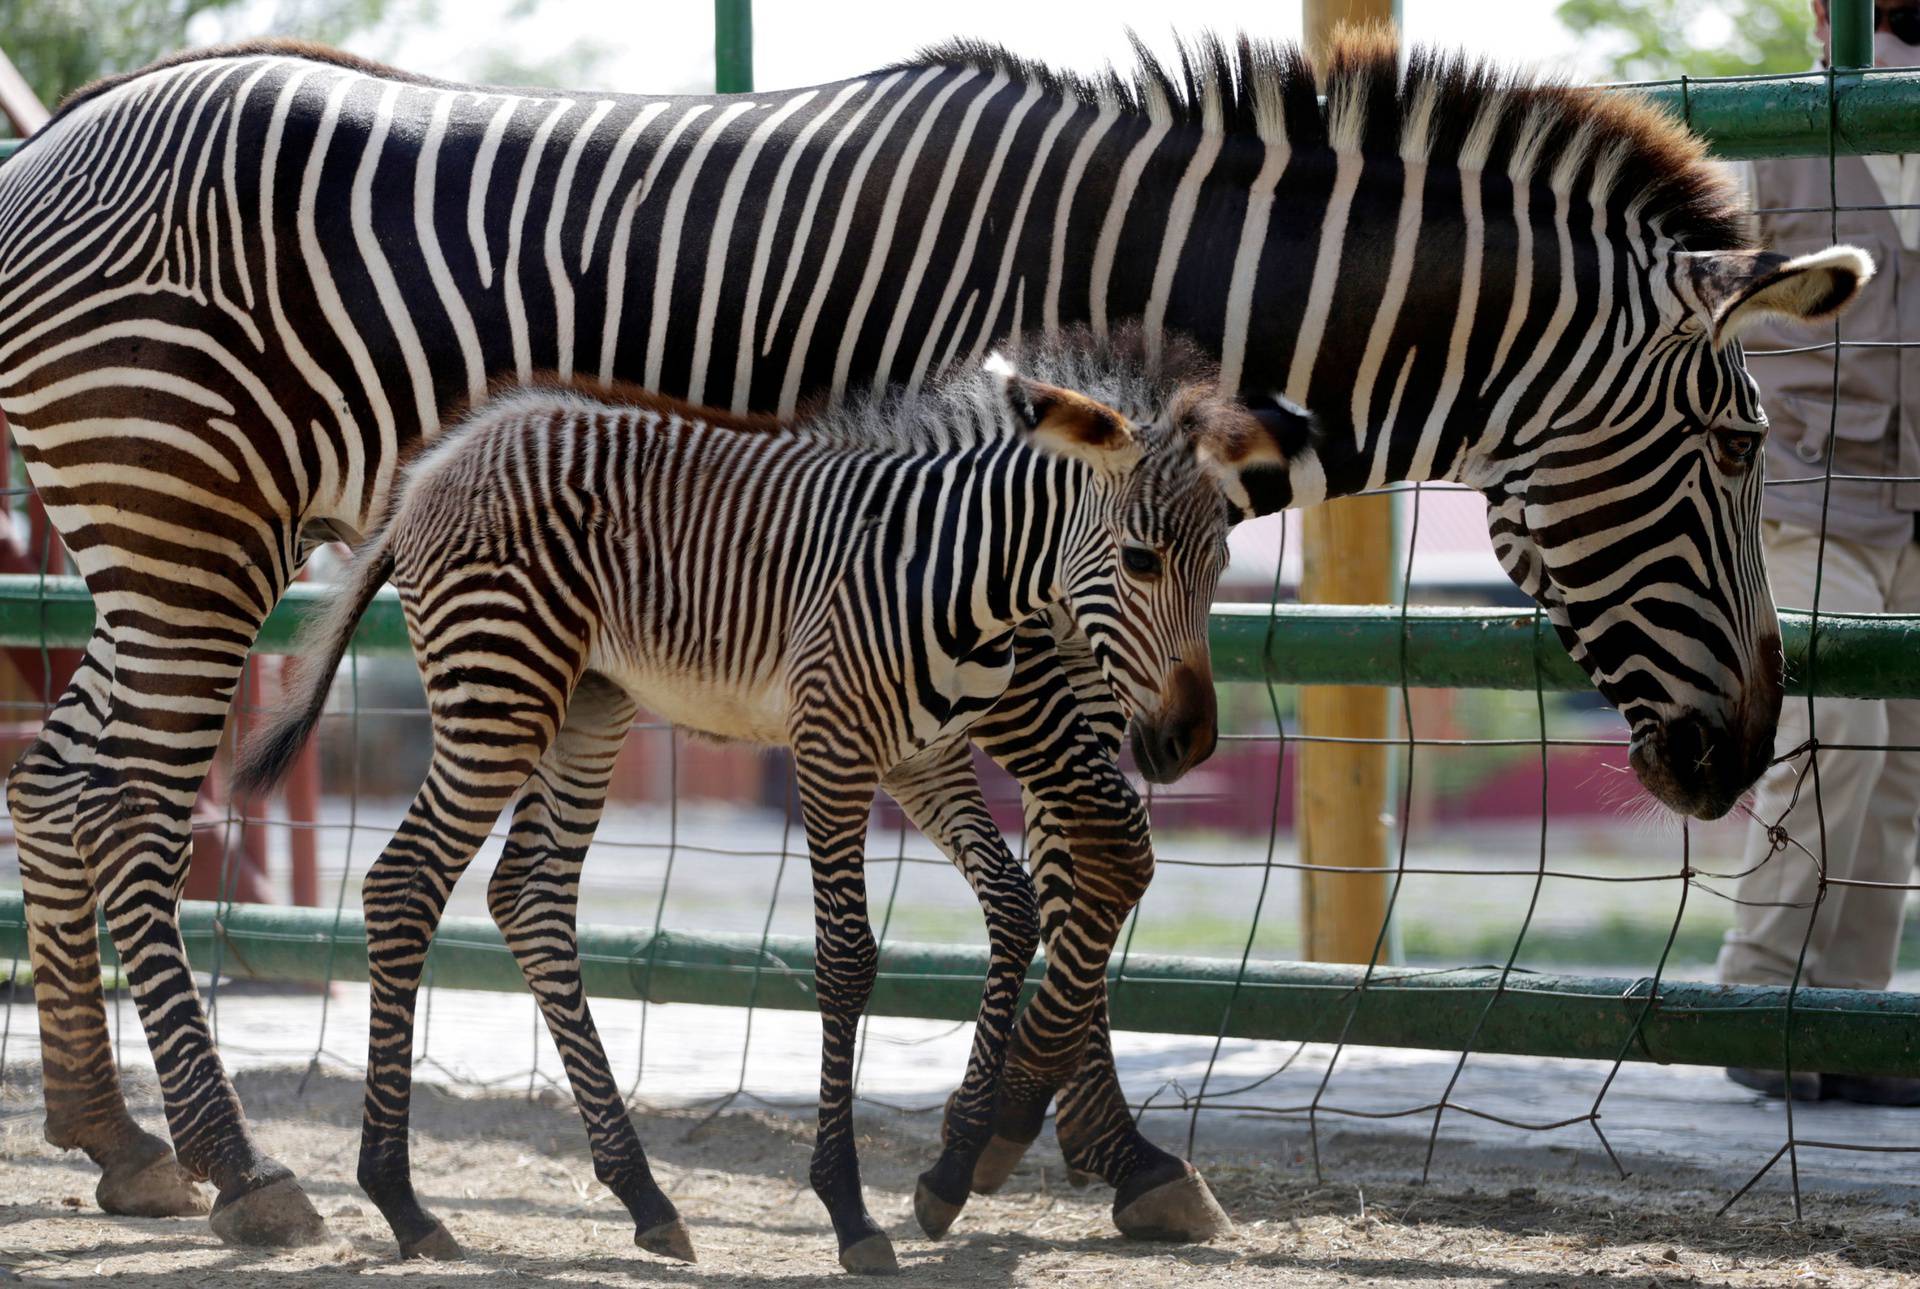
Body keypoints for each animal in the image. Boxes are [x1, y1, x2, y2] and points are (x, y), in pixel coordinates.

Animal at [232, 338, 1297, 1275]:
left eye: (1220, 565)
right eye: (1140, 559)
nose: (1189, 743)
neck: (957, 579)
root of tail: (442, 461)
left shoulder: (925, 761)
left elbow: (1016, 906)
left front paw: (953, 1169)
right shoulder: (833, 751)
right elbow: (847, 961)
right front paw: (849, 1209)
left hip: (586, 703)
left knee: (527, 899)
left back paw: (643, 1197)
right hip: (503, 690)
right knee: (404, 884)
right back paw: (403, 1201)